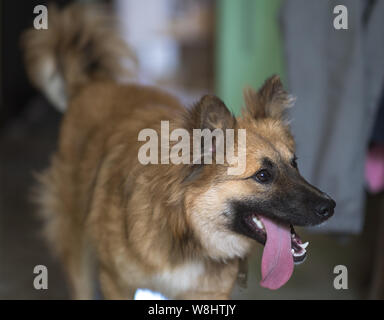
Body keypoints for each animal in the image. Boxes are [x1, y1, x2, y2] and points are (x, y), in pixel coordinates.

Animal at [22, 3, 334, 298]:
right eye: (262, 175)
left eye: (295, 163)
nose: (330, 207)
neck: (185, 225)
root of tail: (94, 84)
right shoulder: (115, 281)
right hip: (75, 245)